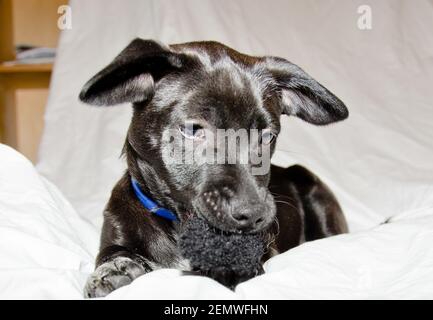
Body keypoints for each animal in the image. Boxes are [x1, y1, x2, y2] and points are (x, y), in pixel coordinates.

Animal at [80, 39, 348, 298]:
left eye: (267, 136)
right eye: (192, 130)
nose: (255, 215)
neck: (179, 228)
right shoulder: (115, 231)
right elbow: (111, 253)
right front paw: (113, 270)